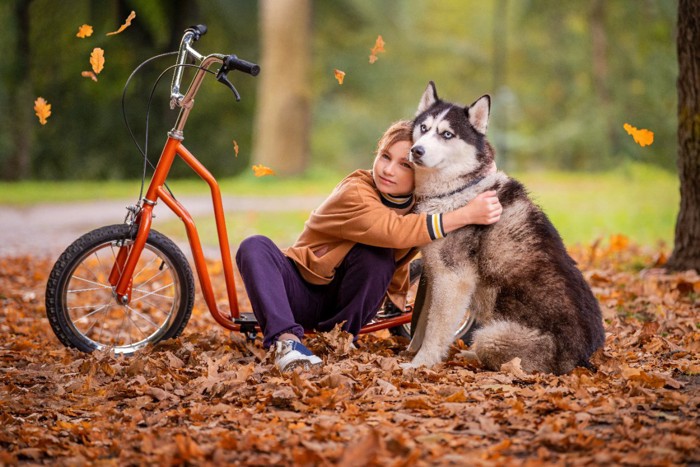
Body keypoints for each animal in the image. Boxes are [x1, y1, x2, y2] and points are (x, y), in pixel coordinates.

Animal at [408, 83, 604, 376]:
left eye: (447, 134)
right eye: (423, 128)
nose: (416, 150)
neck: (458, 190)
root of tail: (582, 359)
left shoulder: (453, 278)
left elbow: (434, 328)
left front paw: (420, 364)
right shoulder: (435, 272)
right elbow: (423, 322)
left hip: (491, 336)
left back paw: (471, 356)